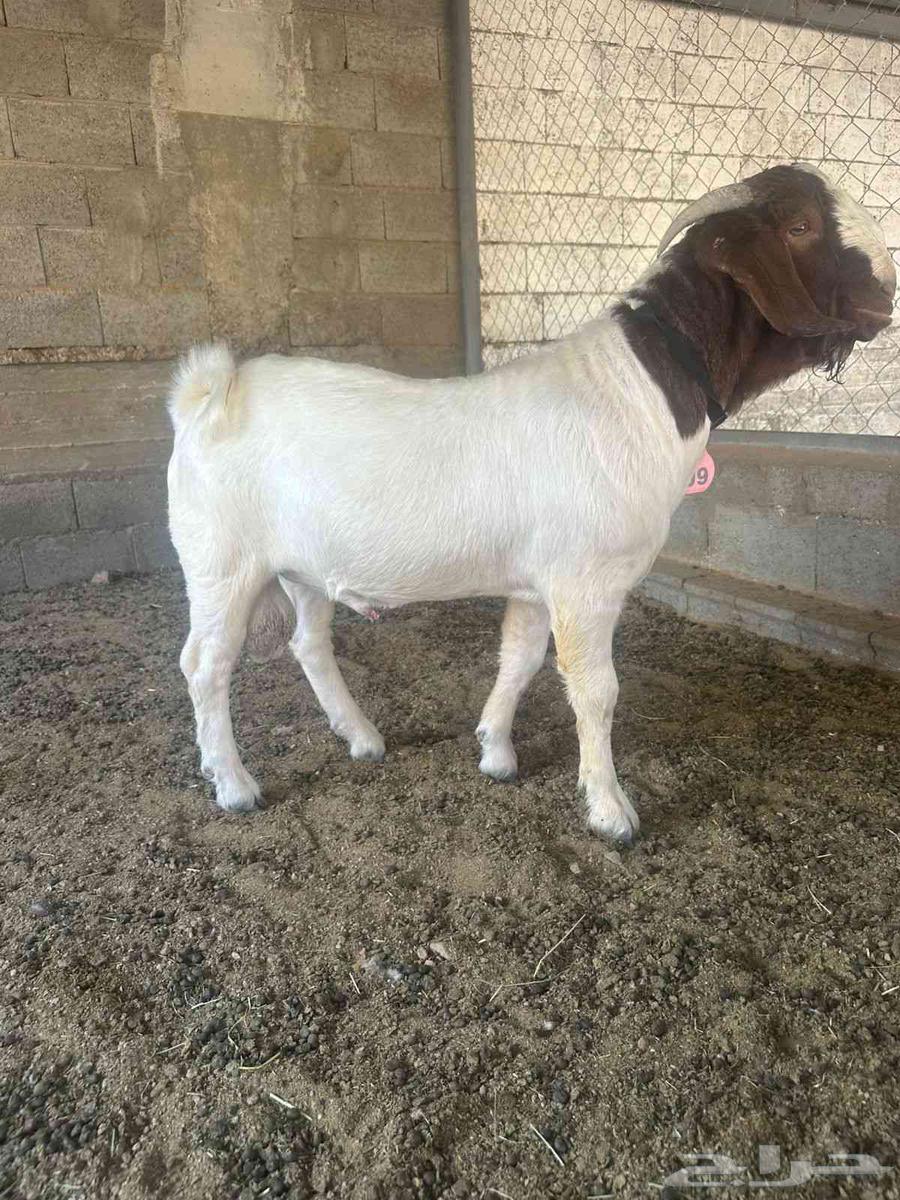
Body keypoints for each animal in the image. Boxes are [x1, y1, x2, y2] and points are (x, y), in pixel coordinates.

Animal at [168, 164, 895, 845]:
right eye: (800, 225)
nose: (887, 290)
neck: (644, 385)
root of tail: (210, 395)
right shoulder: (587, 580)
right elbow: (596, 689)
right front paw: (610, 811)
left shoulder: (538, 579)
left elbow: (519, 658)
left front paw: (495, 752)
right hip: (220, 561)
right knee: (205, 664)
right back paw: (234, 785)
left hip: (299, 567)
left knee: (309, 644)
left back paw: (362, 738)